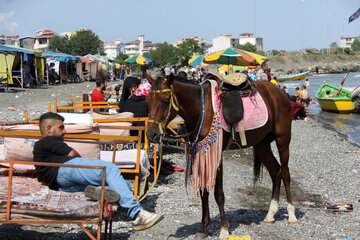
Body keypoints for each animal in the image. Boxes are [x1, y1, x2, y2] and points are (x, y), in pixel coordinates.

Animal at [145, 72, 296, 240]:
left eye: (165, 100)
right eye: (147, 100)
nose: (151, 134)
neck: (201, 110)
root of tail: (280, 93)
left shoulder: (217, 155)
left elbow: (218, 194)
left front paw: (224, 229)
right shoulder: (201, 153)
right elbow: (204, 192)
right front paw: (203, 227)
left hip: (283, 140)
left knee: (285, 173)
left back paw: (291, 214)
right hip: (261, 144)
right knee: (276, 172)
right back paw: (270, 214)